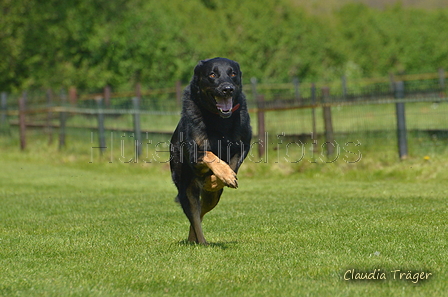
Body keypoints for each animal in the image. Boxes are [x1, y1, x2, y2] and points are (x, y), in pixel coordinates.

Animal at [170, 57, 252, 243]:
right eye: (212, 74)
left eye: (233, 73)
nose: (227, 89)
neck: (219, 119)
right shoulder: (195, 155)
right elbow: (210, 155)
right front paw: (222, 174)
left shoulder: (243, 146)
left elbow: (233, 165)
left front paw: (220, 178)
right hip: (186, 189)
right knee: (194, 218)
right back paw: (201, 242)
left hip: (212, 199)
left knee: (200, 212)